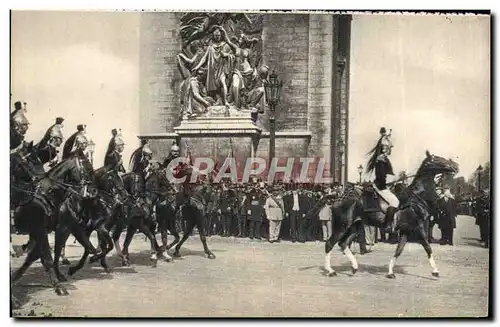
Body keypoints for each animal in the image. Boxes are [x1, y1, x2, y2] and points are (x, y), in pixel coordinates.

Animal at [316, 151, 460, 280]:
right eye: (438, 159)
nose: (456, 166)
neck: (416, 197)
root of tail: (338, 198)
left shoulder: (405, 231)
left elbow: (398, 251)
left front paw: (390, 272)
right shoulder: (418, 229)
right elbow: (428, 248)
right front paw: (435, 271)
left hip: (355, 227)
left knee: (343, 244)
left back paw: (354, 267)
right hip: (342, 226)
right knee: (330, 244)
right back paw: (330, 271)